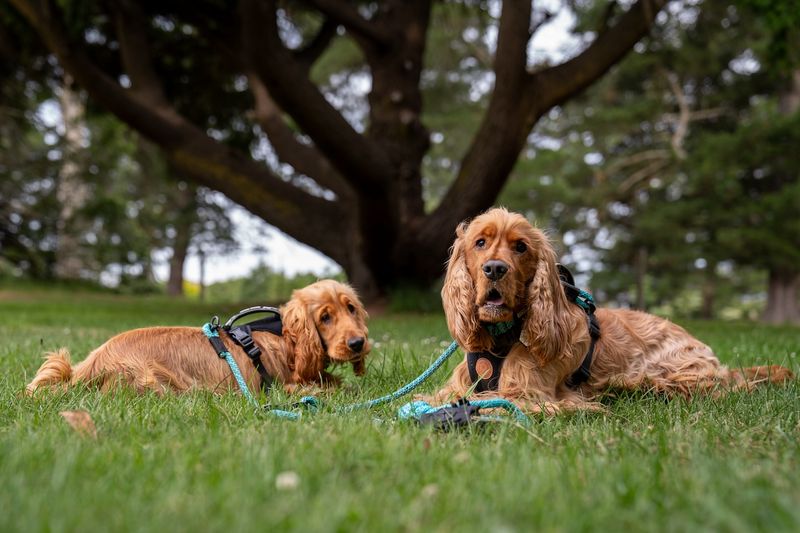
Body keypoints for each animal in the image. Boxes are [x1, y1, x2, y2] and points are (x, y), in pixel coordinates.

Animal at [26, 278, 370, 394]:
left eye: (351, 308)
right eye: (324, 317)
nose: (358, 343)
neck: (287, 339)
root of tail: (86, 370)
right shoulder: (283, 387)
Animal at [428, 207, 792, 412]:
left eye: (521, 247)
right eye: (480, 242)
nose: (494, 269)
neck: (502, 338)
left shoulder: (530, 393)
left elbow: (486, 403)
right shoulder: (456, 385)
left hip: (675, 375)